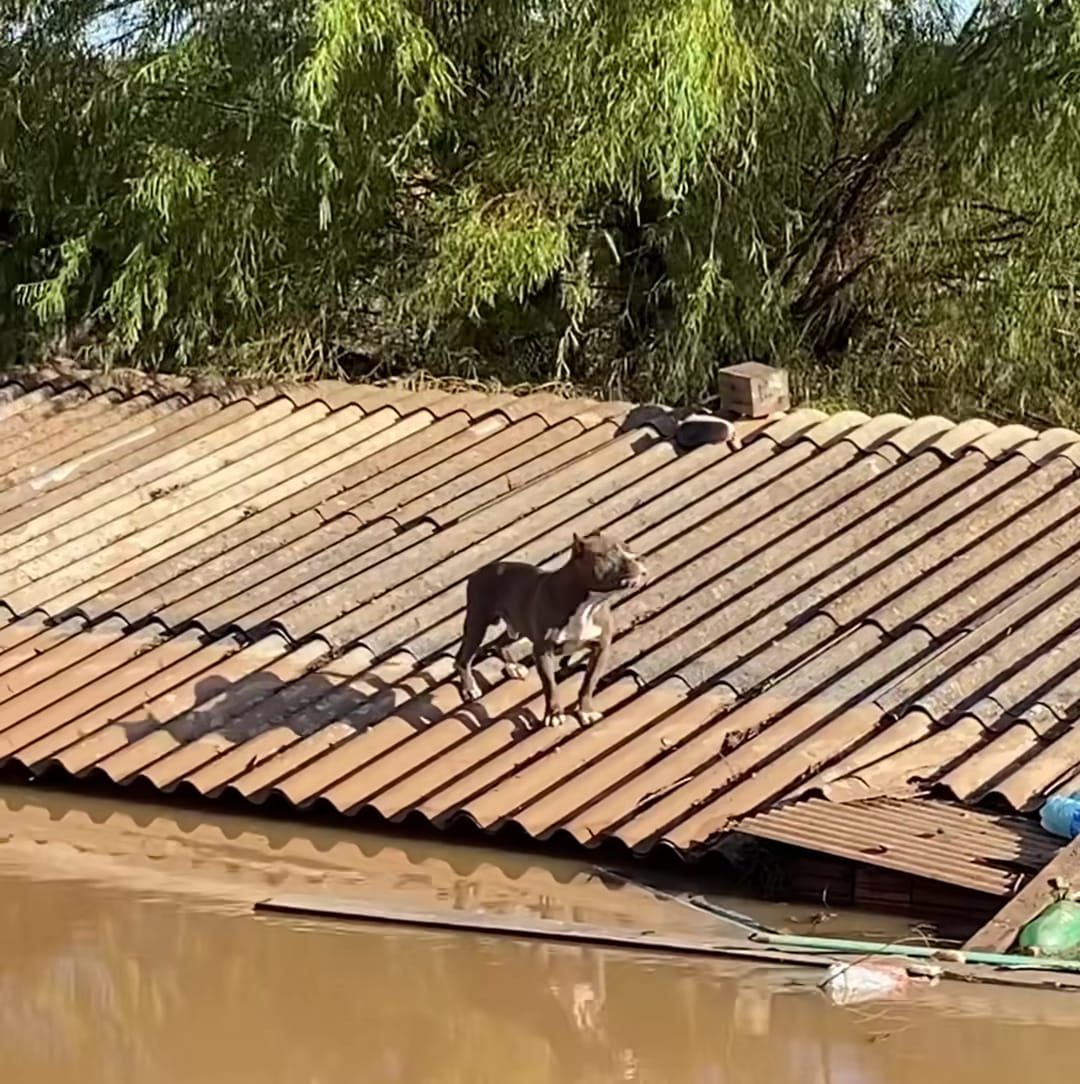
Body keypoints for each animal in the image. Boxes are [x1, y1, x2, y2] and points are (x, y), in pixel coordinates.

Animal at [451, 533, 646, 728]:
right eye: (611, 553)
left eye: (628, 548)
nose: (639, 558)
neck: (587, 603)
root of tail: (479, 572)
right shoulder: (543, 652)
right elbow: (550, 685)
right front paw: (554, 714)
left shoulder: (601, 648)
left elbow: (589, 683)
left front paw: (586, 711)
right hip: (478, 623)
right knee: (463, 659)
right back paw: (470, 687)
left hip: (518, 625)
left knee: (500, 642)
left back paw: (513, 666)